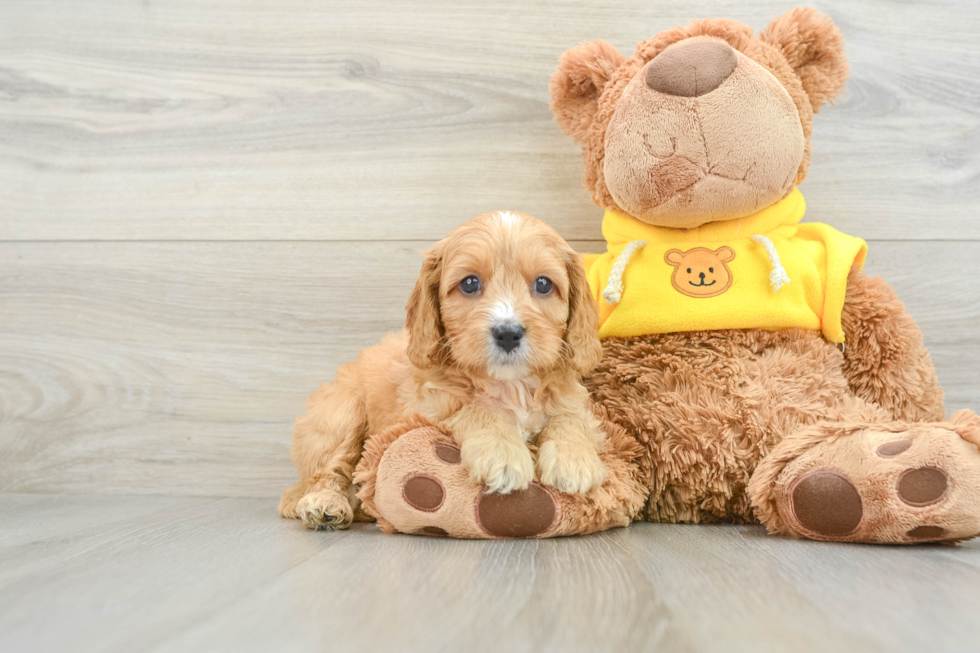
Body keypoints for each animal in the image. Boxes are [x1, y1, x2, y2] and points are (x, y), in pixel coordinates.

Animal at [276, 213, 608, 528]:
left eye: (543, 284)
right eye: (470, 283)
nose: (508, 333)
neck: (509, 385)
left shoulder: (573, 400)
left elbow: (571, 418)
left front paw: (573, 457)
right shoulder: (428, 410)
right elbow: (476, 409)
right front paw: (502, 453)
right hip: (339, 415)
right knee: (327, 472)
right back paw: (325, 503)